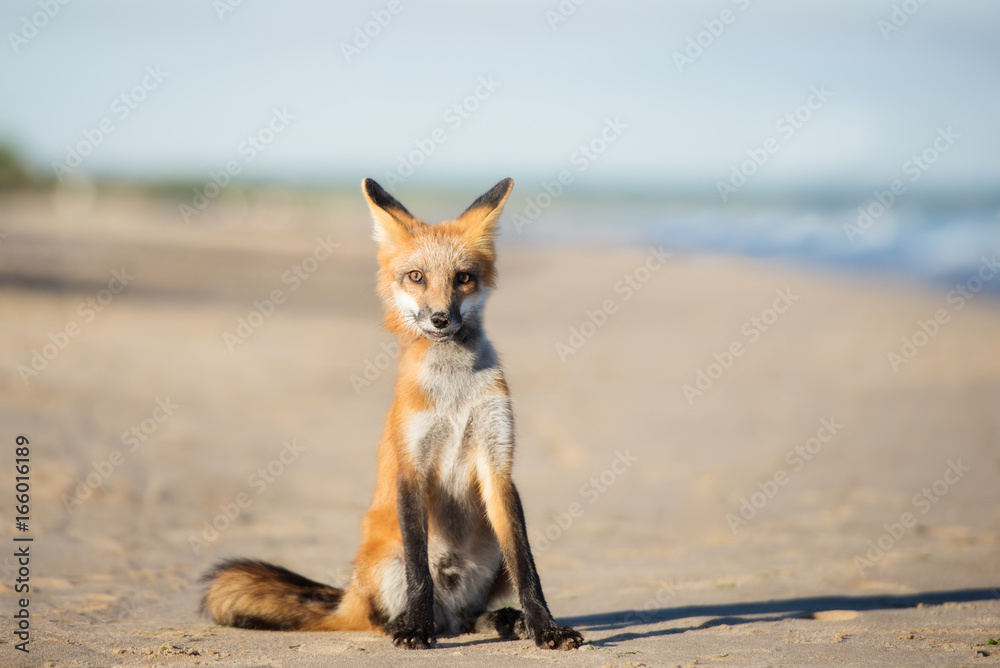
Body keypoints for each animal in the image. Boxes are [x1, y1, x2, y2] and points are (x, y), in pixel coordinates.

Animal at [201, 178, 584, 650]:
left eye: (464, 278)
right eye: (416, 277)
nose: (440, 319)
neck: (453, 393)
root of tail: (350, 592)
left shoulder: (497, 463)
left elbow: (527, 567)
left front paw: (546, 627)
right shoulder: (412, 465)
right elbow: (419, 569)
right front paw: (416, 629)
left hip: (488, 557)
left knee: (466, 618)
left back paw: (505, 621)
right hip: (385, 563)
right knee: (387, 615)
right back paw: (408, 623)